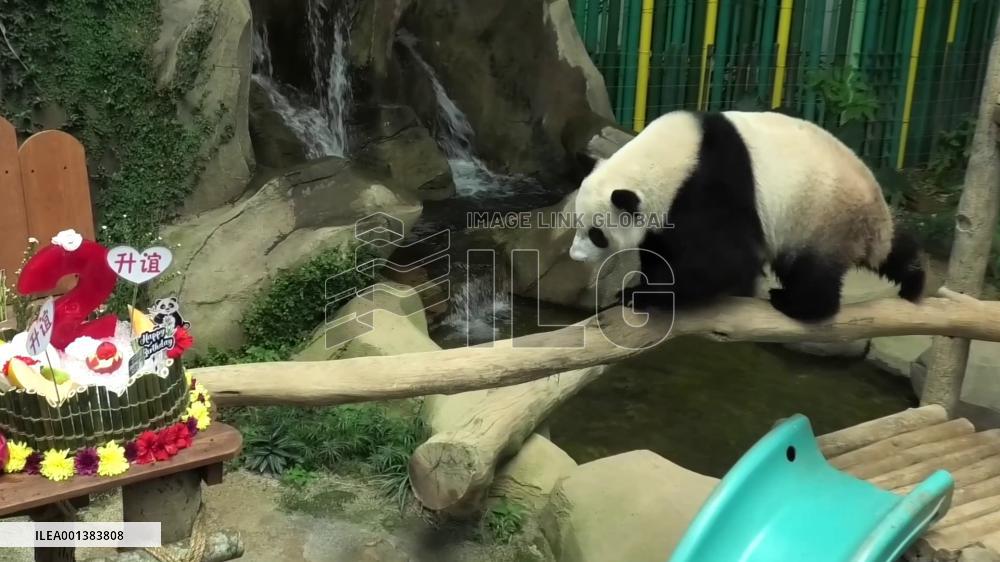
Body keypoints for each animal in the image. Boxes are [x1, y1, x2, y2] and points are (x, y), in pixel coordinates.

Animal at [568, 110, 924, 322]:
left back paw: (795, 303)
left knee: (811, 271)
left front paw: (640, 294)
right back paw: (913, 278)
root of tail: (874, 214)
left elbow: (724, 261)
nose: (575, 256)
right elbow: (662, 248)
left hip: (821, 216)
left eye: (596, 233)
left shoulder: (711, 186)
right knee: (895, 251)